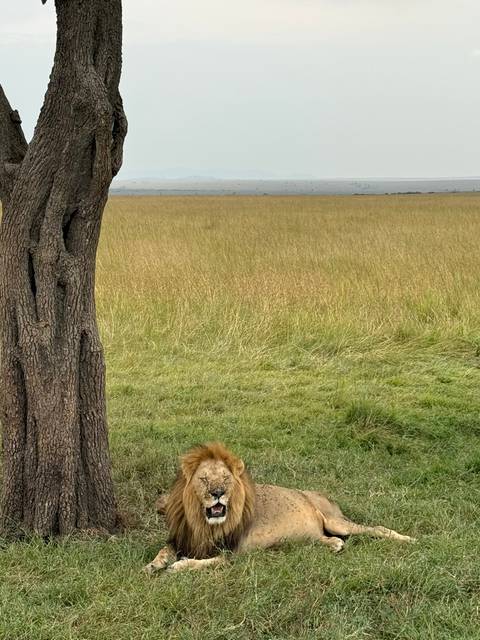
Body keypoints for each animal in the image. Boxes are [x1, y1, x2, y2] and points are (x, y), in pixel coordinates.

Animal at [144, 442, 414, 574]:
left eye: (226, 479)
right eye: (203, 479)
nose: (217, 494)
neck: (203, 522)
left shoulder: (232, 553)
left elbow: (201, 562)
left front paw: (178, 566)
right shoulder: (181, 539)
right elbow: (164, 550)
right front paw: (154, 565)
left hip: (336, 521)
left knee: (377, 528)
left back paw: (409, 540)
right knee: (326, 540)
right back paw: (333, 545)